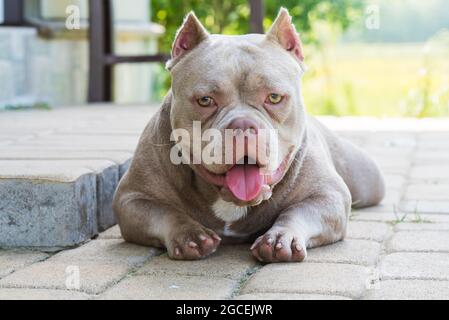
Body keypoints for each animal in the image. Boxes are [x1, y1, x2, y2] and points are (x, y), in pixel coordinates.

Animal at [111, 8, 382, 262]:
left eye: (274, 97)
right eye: (205, 100)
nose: (243, 125)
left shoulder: (328, 195)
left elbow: (298, 212)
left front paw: (280, 237)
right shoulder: (132, 199)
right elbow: (167, 213)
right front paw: (189, 234)